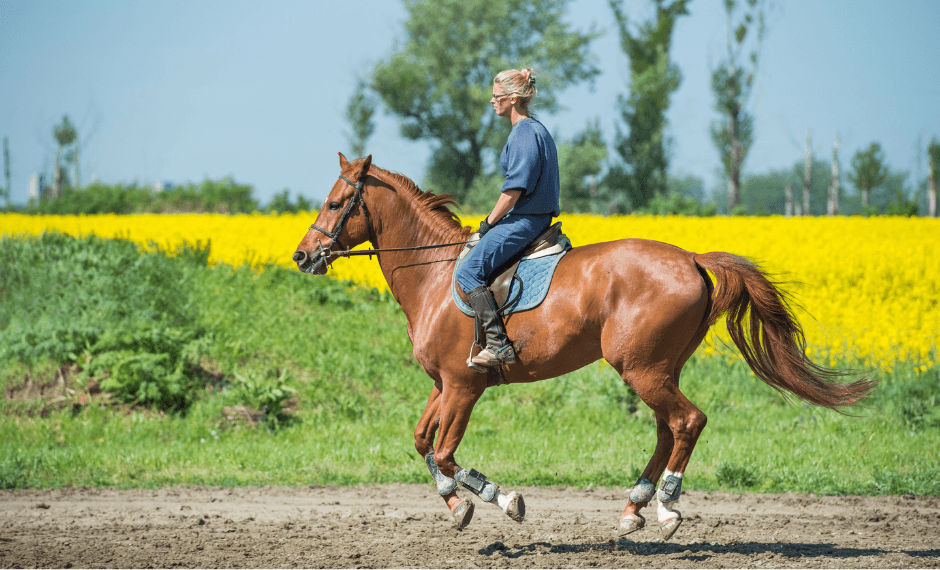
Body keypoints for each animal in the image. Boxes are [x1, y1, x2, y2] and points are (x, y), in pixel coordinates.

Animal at [292, 154, 872, 536]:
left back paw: (666, 509)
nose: (302, 256)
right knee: (667, 428)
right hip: (657, 368)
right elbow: (421, 443)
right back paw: (633, 508)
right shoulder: (444, 384)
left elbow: (445, 451)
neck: (435, 274)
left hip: (641, 368)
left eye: (336, 203)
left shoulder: (463, 386)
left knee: (687, 421)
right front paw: (456, 506)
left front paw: (503, 499)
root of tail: (691, 258)